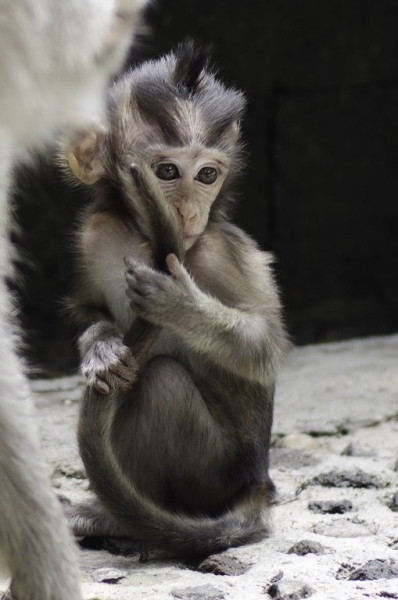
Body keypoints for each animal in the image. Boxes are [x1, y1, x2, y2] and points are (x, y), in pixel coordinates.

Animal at [66, 43, 290, 556]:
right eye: (167, 171)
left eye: (207, 174)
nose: (187, 212)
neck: (142, 236)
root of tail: (258, 483)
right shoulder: (94, 232)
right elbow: (87, 307)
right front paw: (101, 345)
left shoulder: (221, 249)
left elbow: (264, 344)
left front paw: (181, 305)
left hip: (216, 472)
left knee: (162, 382)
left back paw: (122, 521)